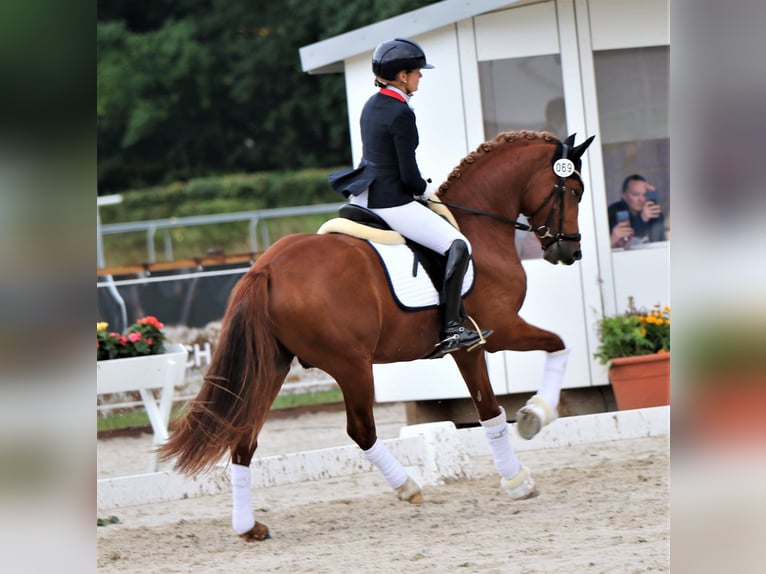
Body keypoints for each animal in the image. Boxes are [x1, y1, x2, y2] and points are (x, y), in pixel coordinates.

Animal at [159, 129, 596, 540]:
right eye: (574, 191)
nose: (570, 252)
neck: (479, 226)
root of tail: (266, 267)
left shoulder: (472, 345)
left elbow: (505, 393)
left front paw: (524, 446)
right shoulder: (493, 332)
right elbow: (528, 375)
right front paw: (530, 436)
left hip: (273, 366)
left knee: (243, 438)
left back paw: (249, 527)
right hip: (350, 365)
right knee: (360, 430)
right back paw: (408, 486)